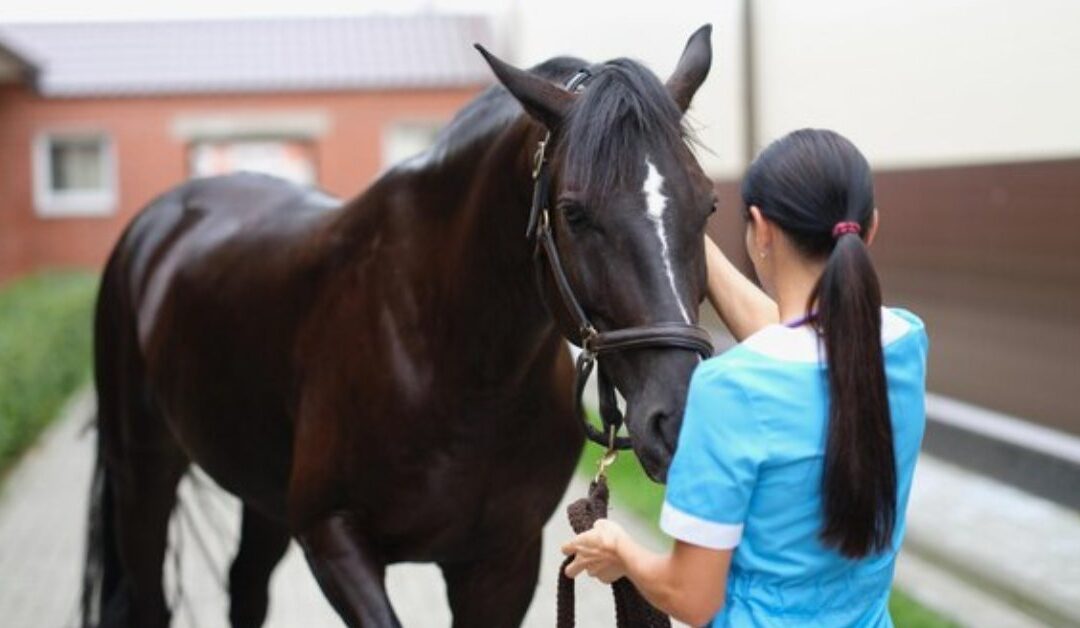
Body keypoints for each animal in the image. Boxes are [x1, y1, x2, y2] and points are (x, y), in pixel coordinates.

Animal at [86, 26, 717, 622]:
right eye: (573, 213)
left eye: (708, 205)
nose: (683, 421)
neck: (448, 359)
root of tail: (157, 224)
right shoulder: (332, 537)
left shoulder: (502, 562)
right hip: (143, 475)